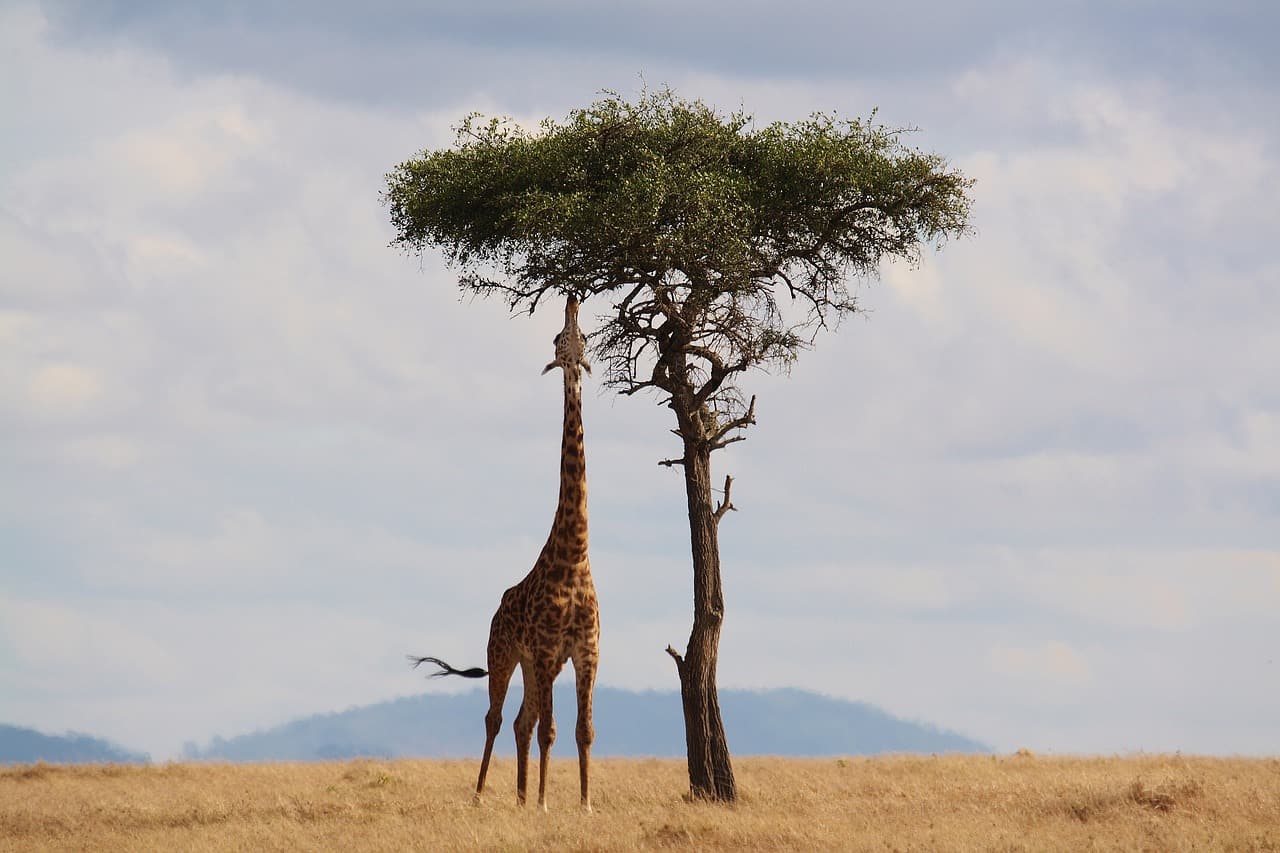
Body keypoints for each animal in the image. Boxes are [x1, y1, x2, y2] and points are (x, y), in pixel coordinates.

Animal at [414, 297, 604, 809]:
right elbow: (551, 731)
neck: (574, 557)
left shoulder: (585, 652)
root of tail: (497, 609)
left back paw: (519, 798)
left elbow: (583, 730)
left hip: (536, 666)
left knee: (522, 721)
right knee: (498, 719)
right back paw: (484, 795)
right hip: (504, 653)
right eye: (558, 339)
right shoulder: (546, 650)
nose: (572, 300)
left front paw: (583, 804)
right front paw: (544, 803)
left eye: (584, 338)